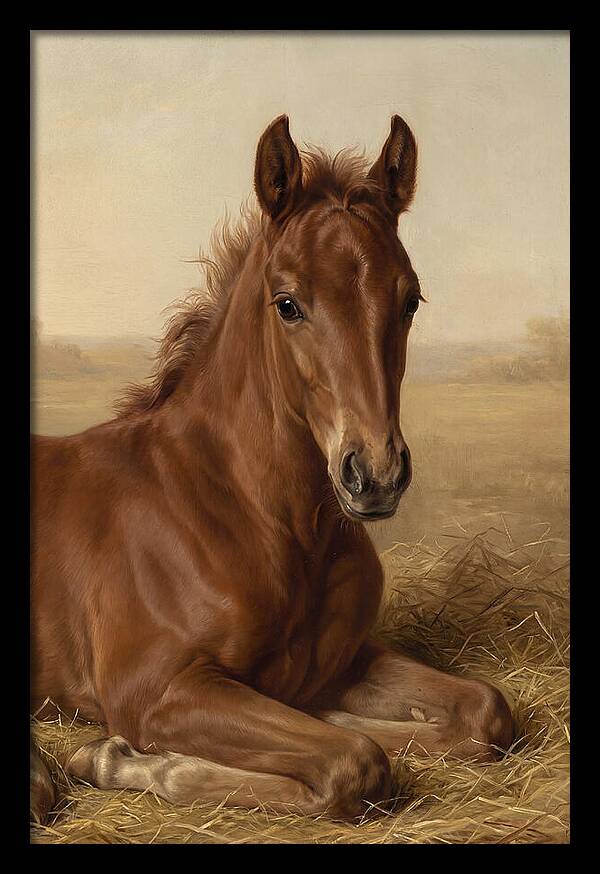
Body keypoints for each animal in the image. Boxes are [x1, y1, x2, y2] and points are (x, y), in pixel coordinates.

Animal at [30, 114, 514, 824]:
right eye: (287, 304)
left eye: (411, 300)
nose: (375, 474)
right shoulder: (155, 690)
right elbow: (354, 761)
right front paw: (119, 758)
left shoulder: (341, 662)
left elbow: (483, 711)